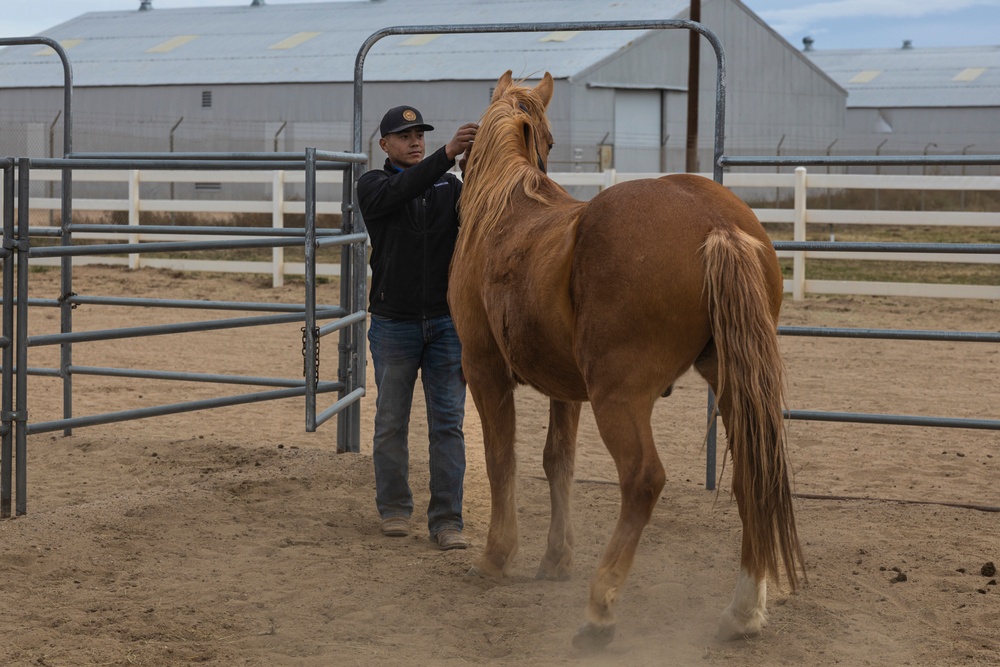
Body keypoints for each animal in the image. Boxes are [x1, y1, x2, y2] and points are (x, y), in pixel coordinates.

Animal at [450, 73, 808, 652]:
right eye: (551, 141)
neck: (502, 213)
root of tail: (715, 223)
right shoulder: (565, 390)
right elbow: (558, 463)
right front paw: (555, 559)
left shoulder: (484, 371)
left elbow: (501, 458)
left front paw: (496, 557)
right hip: (731, 386)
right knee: (752, 478)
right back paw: (743, 612)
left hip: (619, 397)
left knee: (643, 479)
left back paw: (600, 611)